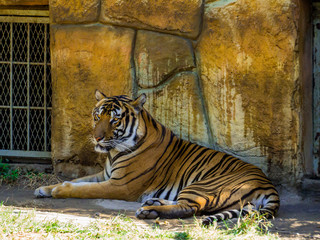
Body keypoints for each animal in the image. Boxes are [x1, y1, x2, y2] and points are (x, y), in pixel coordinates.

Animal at [35, 90, 278, 225]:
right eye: (97, 116)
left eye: (114, 120)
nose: (97, 138)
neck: (114, 152)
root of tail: (268, 184)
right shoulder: (104, 175)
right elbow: (79, 181)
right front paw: (44, 189)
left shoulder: (119, 185)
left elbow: (84, 189)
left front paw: (59, 191)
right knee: (185, 204)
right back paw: (152, 203)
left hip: (204, 185)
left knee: (191, 208)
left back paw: (148, 211)